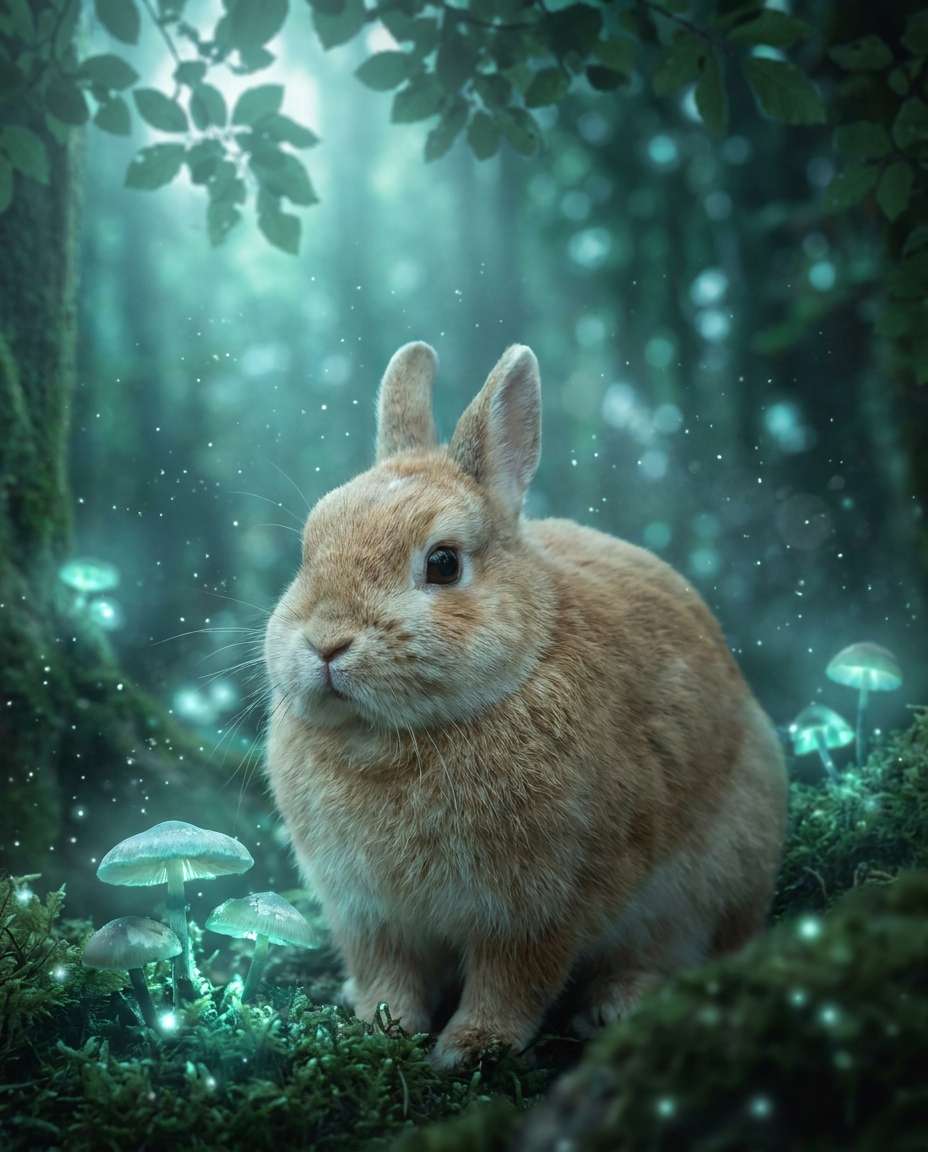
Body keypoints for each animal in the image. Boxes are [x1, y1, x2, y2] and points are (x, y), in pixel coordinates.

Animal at [264, 341, 787, 1069]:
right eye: (308, 551)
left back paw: (616, 1004)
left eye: (444, 563)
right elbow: (387, 975)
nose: (325, 642)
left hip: (712, 882)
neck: (392, 737)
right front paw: (376, 1028)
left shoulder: (541, 906)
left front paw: (472, 1047)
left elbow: (514, 981)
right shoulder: (368, 914)